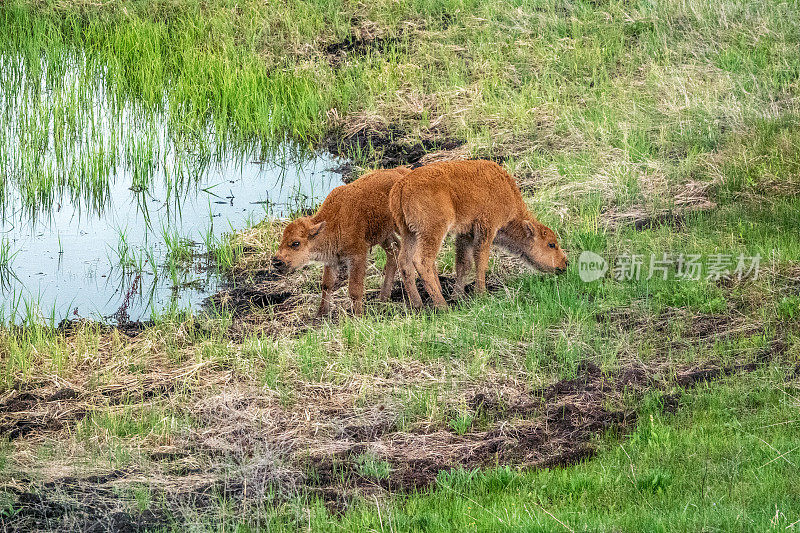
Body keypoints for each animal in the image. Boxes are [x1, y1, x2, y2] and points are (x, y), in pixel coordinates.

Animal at [272, 167, 410, 316]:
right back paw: (383, 296)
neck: (333, 223)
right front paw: (321, 312)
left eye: (296, 243)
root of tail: (402, 171)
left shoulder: (357, 257)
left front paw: (358, 315)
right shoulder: (331, 261)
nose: (277, 261)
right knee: (394, 251)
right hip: (383, 235)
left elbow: (354, 289)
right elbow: (327, 285)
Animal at [390, 159, 568, 308]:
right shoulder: (486, 228)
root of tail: (402, 186)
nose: (565, 263)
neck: (505, 190)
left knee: (404, 262)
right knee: (421, 261)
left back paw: (417, 305)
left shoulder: (465, 234)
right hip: (432, 231)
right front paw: (481, 294)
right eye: (551, 244)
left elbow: (464, 264)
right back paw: (442, 306)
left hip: (409, 233)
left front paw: (458, 296)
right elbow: (481, 260)